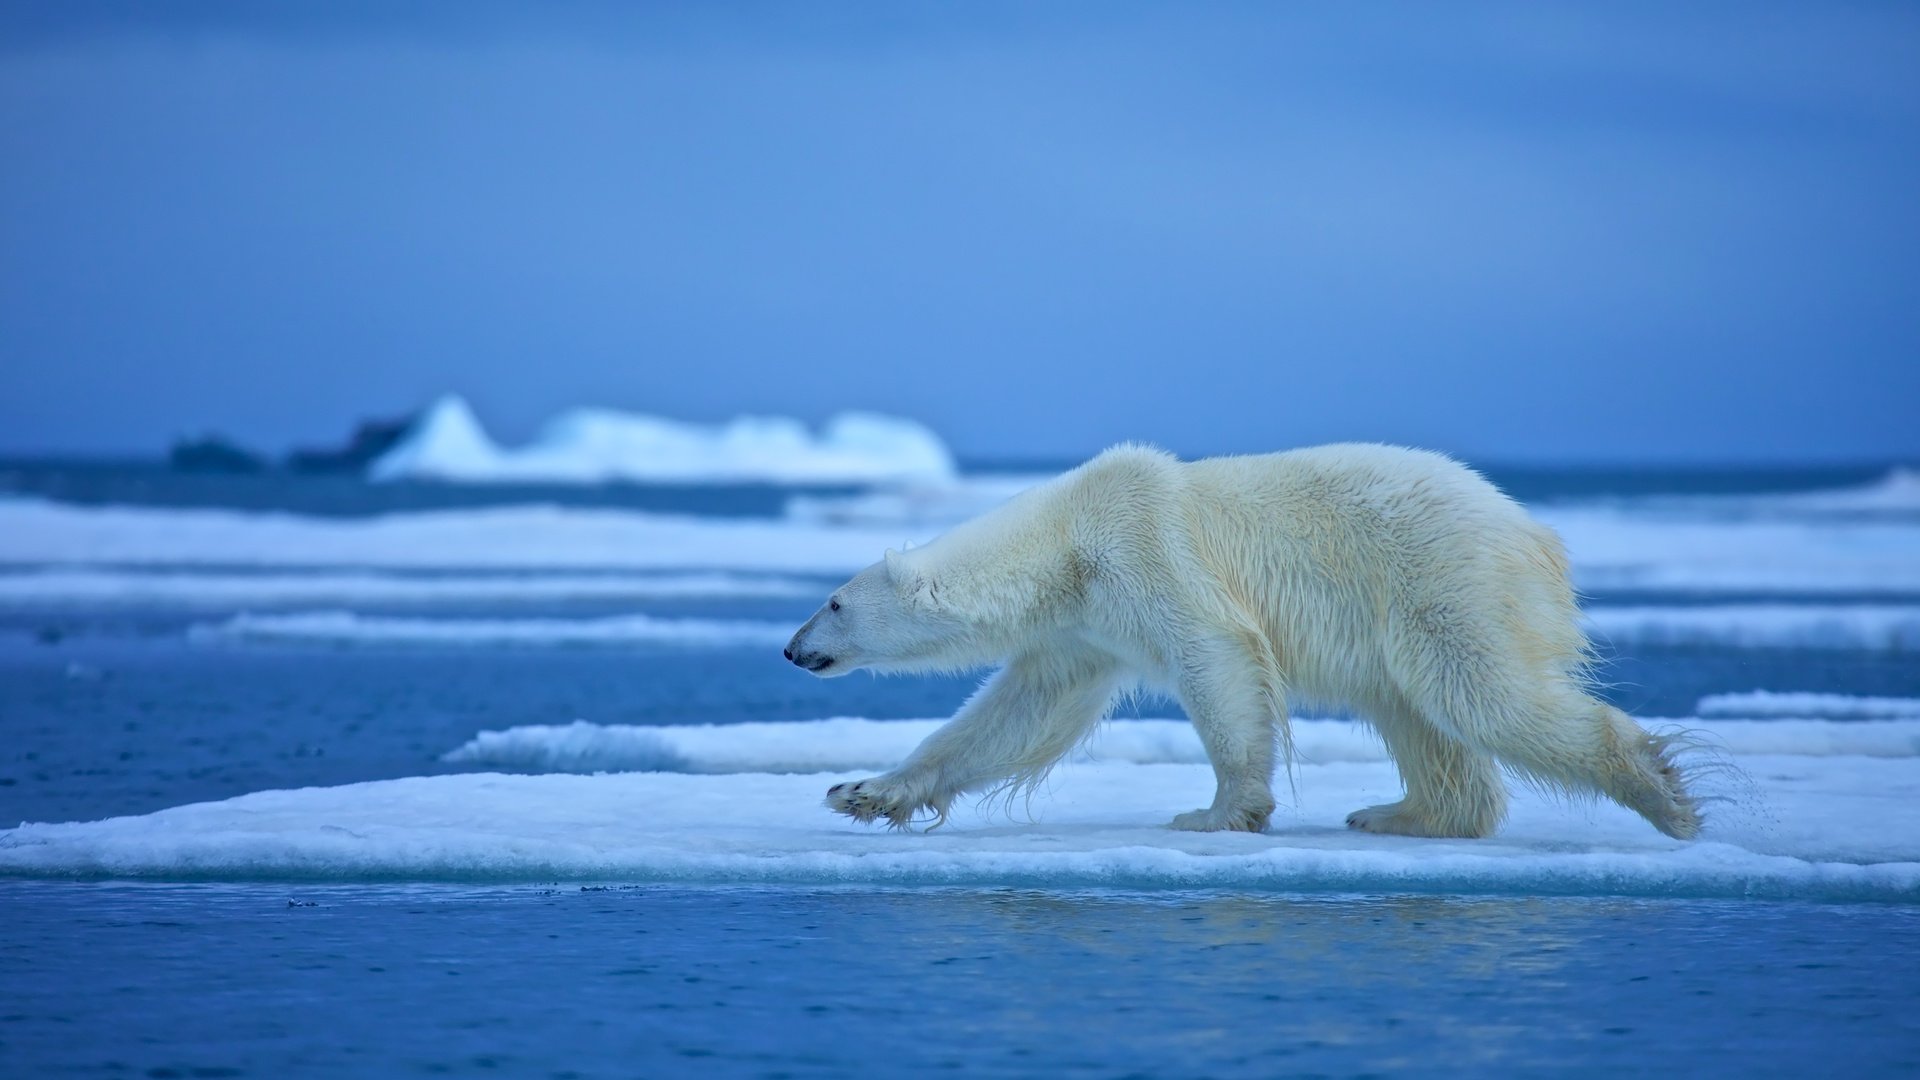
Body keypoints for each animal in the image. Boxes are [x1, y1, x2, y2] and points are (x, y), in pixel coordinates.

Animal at [779, 441, 1697, 837]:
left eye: (832, 601)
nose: (790, 649)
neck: (1066, 540)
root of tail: (1537, 535)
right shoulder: (1085, 626)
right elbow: (1019, 713)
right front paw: (863, 792)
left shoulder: (1145, 550)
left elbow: (1214, 659)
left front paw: (1218, 810)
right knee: (1416, 713)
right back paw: (1398, 813)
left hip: (1443, 580)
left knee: (1480, 694)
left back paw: (1663, 792)